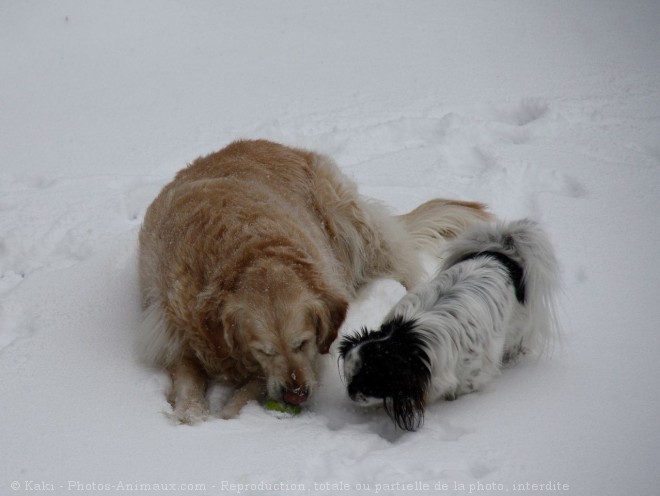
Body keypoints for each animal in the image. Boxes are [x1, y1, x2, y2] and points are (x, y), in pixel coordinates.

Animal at [338, 220, 560, 430]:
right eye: (348, 377)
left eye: (370, 381)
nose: (350, 392)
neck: (410, 339)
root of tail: (500, 255)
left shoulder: (471, 376)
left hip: (516, 330)